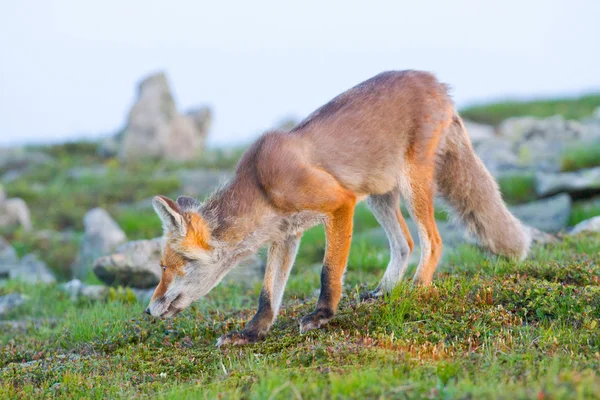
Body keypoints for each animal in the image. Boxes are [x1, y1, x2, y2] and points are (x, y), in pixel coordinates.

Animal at [145, 70, 528, 346]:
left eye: (165, 267)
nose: (148, 310)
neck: (261, 185)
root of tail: (436, 81)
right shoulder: (286, 235)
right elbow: (268, 294)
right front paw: (252, 333)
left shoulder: (339, 204)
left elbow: (328, 272)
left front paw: (322, 315)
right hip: (379, 195)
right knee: (404, 243)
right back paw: (384, 292)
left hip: (412, 184)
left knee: (432, 241)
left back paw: (417, 289)